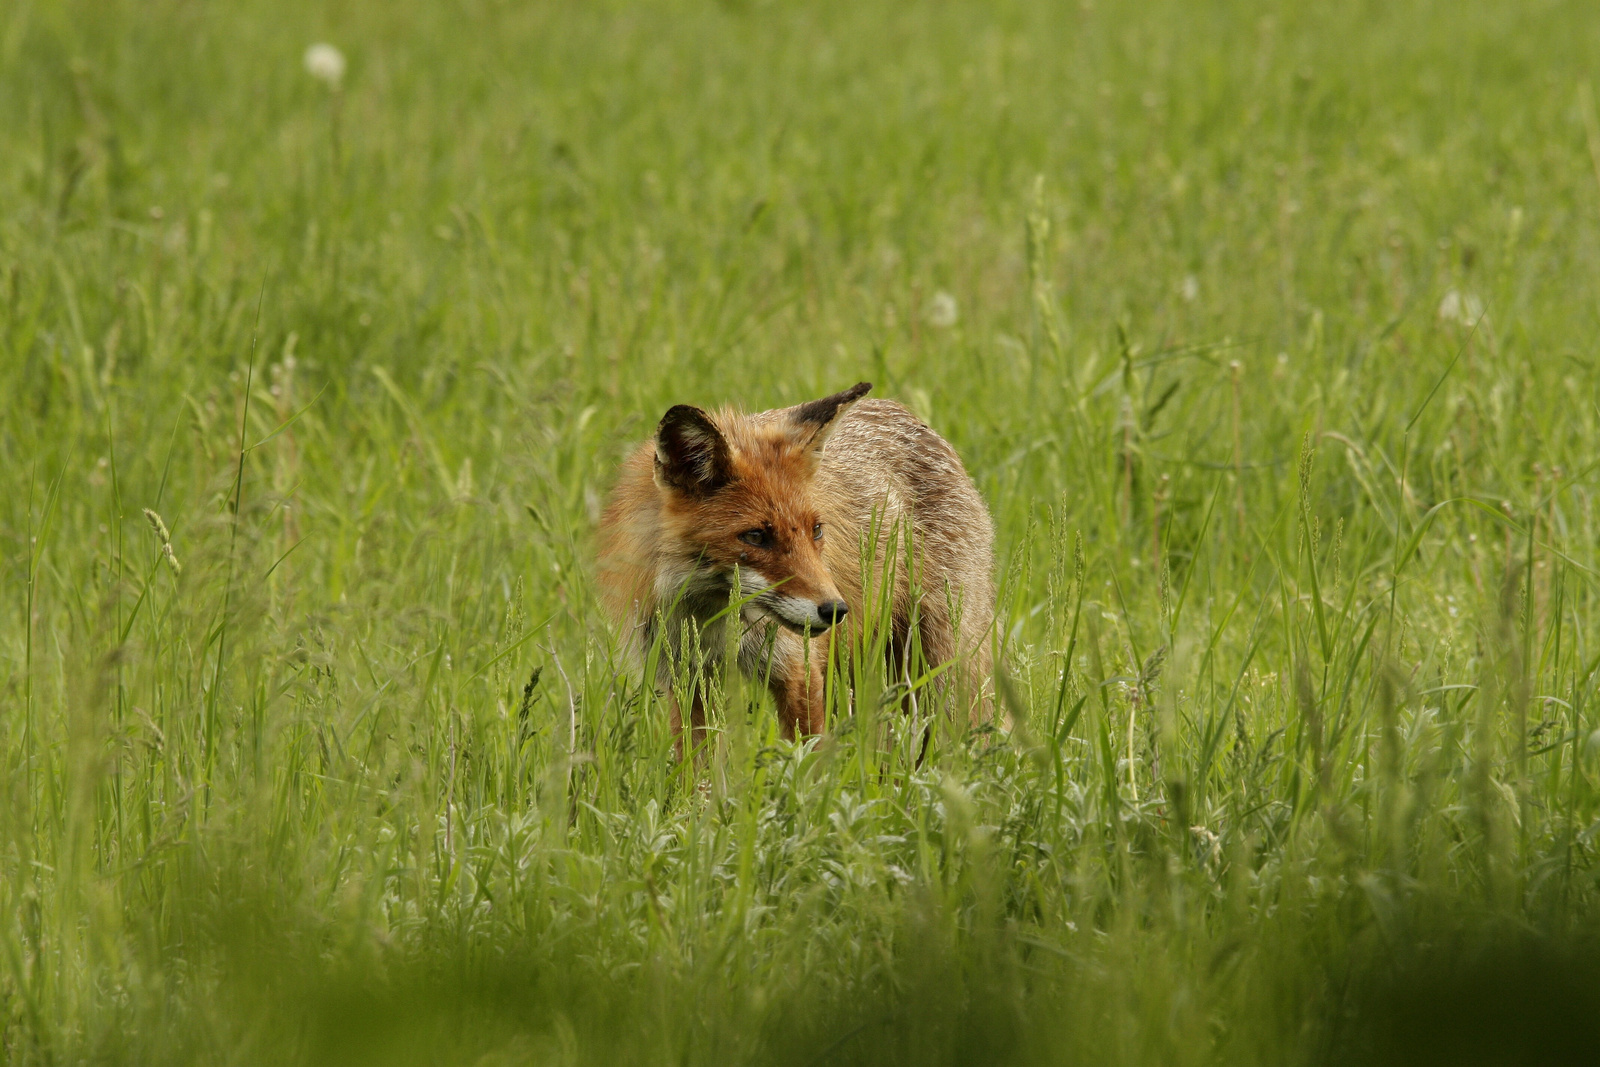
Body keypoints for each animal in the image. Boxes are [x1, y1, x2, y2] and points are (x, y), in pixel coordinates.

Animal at [601, 382, 992, 751]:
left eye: (816, 530)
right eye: (756, 536)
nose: (835, 610)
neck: (713, 618)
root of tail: (902, 411)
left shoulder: (797, 671)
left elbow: (807, 762)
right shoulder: (688, 680)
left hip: (942, 663)